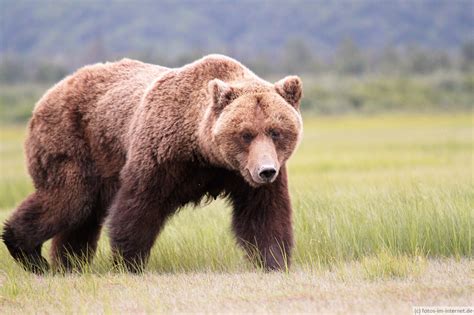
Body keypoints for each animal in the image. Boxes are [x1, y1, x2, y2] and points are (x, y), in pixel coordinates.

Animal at [1, 55, 302, 274]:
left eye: (276, 131)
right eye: (246, 133)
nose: (265, 171)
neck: (204, 152)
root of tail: (50, 91)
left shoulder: (241, 175)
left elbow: (263, 214)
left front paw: (274, 262)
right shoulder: (162, 156)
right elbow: (139, 206)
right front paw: (128, 262)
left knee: (82, 216)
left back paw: (69, 264)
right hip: (73, 142)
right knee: (71, 199)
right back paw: (30, 255)